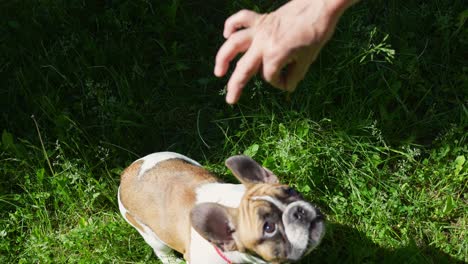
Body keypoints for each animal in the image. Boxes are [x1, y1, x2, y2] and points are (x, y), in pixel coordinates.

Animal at [119, 152, 324, 262]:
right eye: (269, 228)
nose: (298, 211)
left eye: (291, 190)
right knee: (162, 252)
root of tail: (127, 172)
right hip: (150, 235)